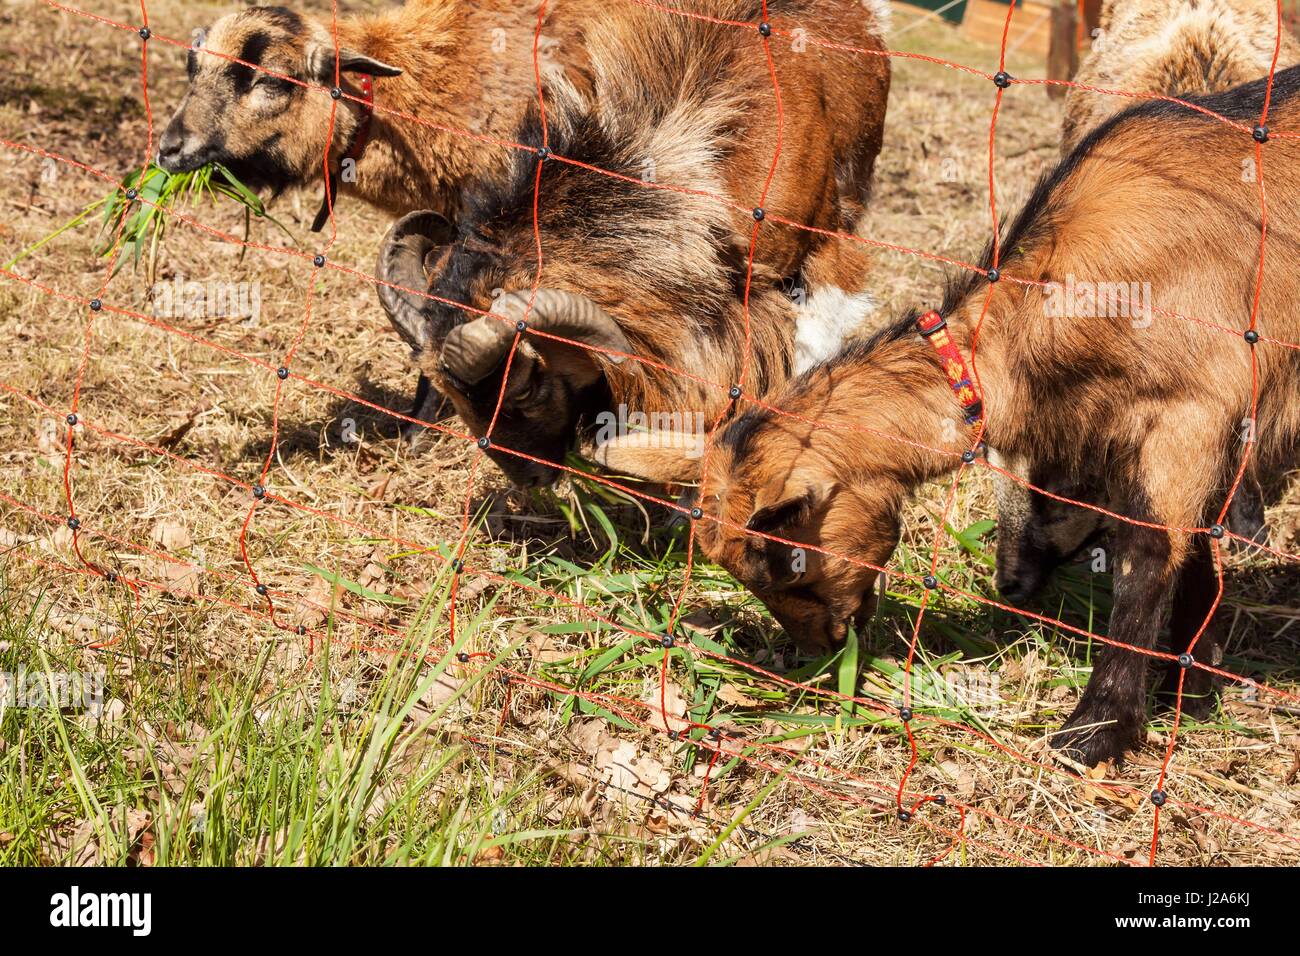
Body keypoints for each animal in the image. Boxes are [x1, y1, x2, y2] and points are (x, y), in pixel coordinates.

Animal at [696, 67, 1300, 764]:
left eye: (785, 565)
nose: (820, 655)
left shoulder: (1194, 411)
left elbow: (1150, 554)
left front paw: (1095, 730)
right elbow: (1194, 546)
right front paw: (1192, 686)